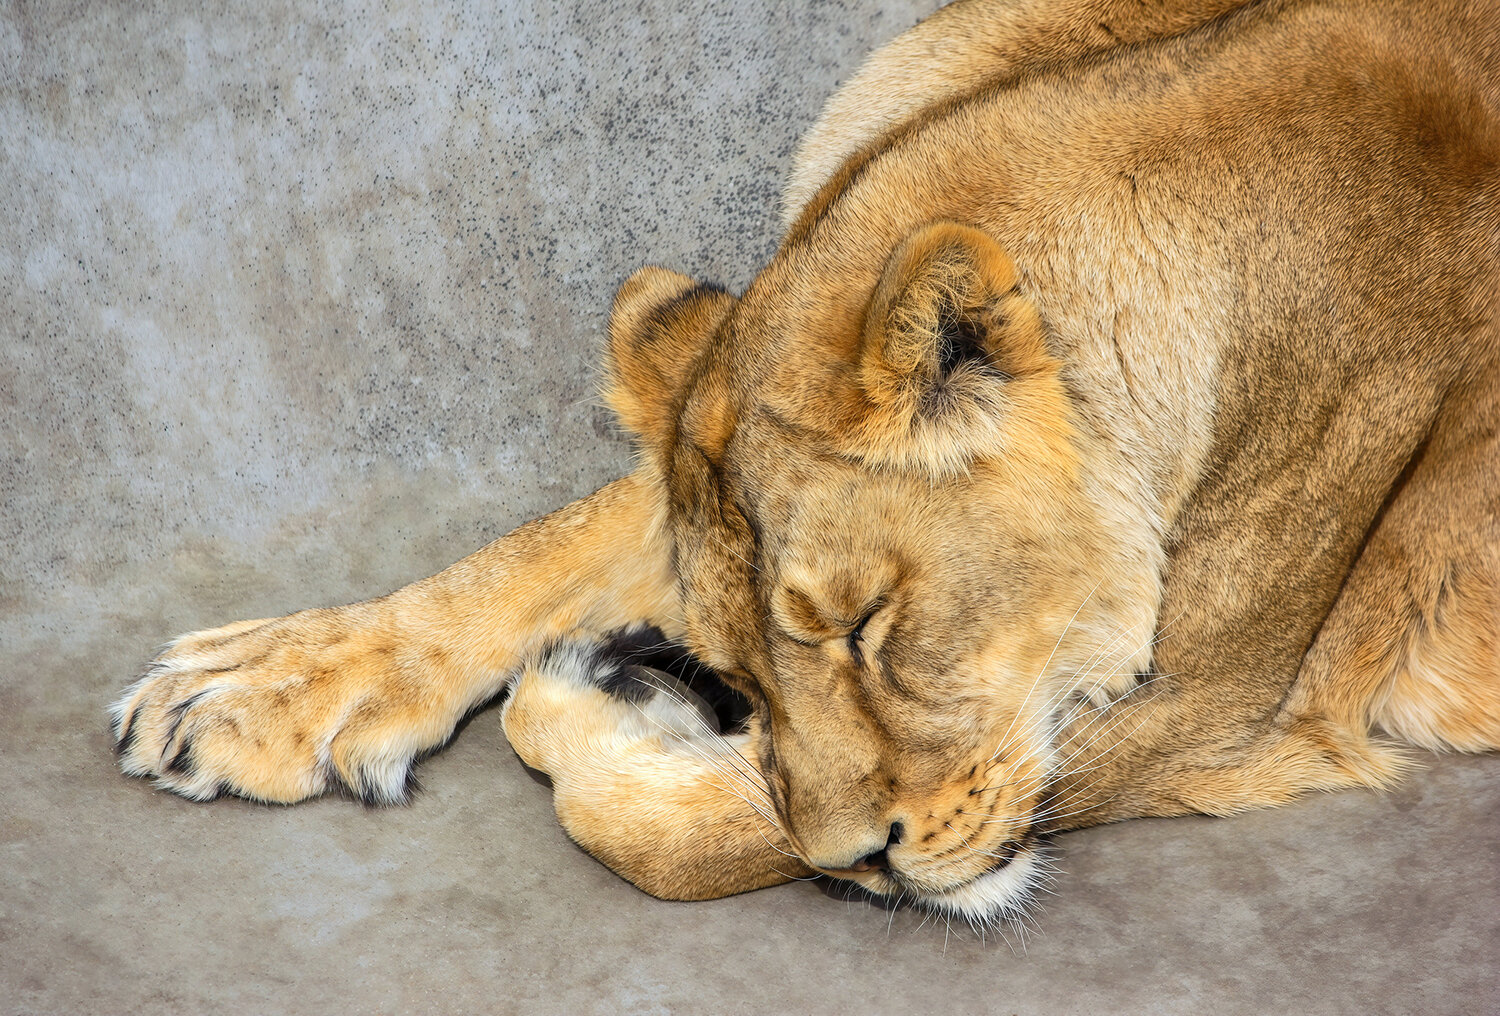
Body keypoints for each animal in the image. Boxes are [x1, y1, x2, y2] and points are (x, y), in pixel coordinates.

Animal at [112, 0, 1500, 928]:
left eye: (869, 631)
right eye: (747, 668)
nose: (863, 864)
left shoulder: (1224, 707)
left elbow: (704, 840)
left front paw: (590, 699)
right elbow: (555, 544)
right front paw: (265, 683)